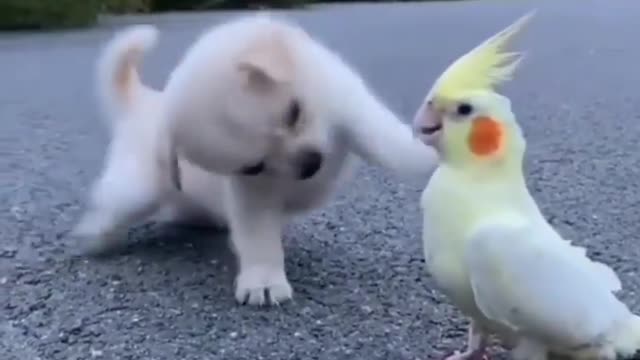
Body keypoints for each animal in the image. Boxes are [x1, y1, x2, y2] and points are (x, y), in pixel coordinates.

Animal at [72, 14, 438, 306]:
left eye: (294, 112)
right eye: (254, 166)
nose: (311, 165)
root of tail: (143, 101)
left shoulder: (352, 106)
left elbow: (393, 142)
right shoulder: (251, 192)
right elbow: (258, 236)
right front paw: (263, 280)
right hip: (136, 189)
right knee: (111, 207)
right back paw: (94, 236)